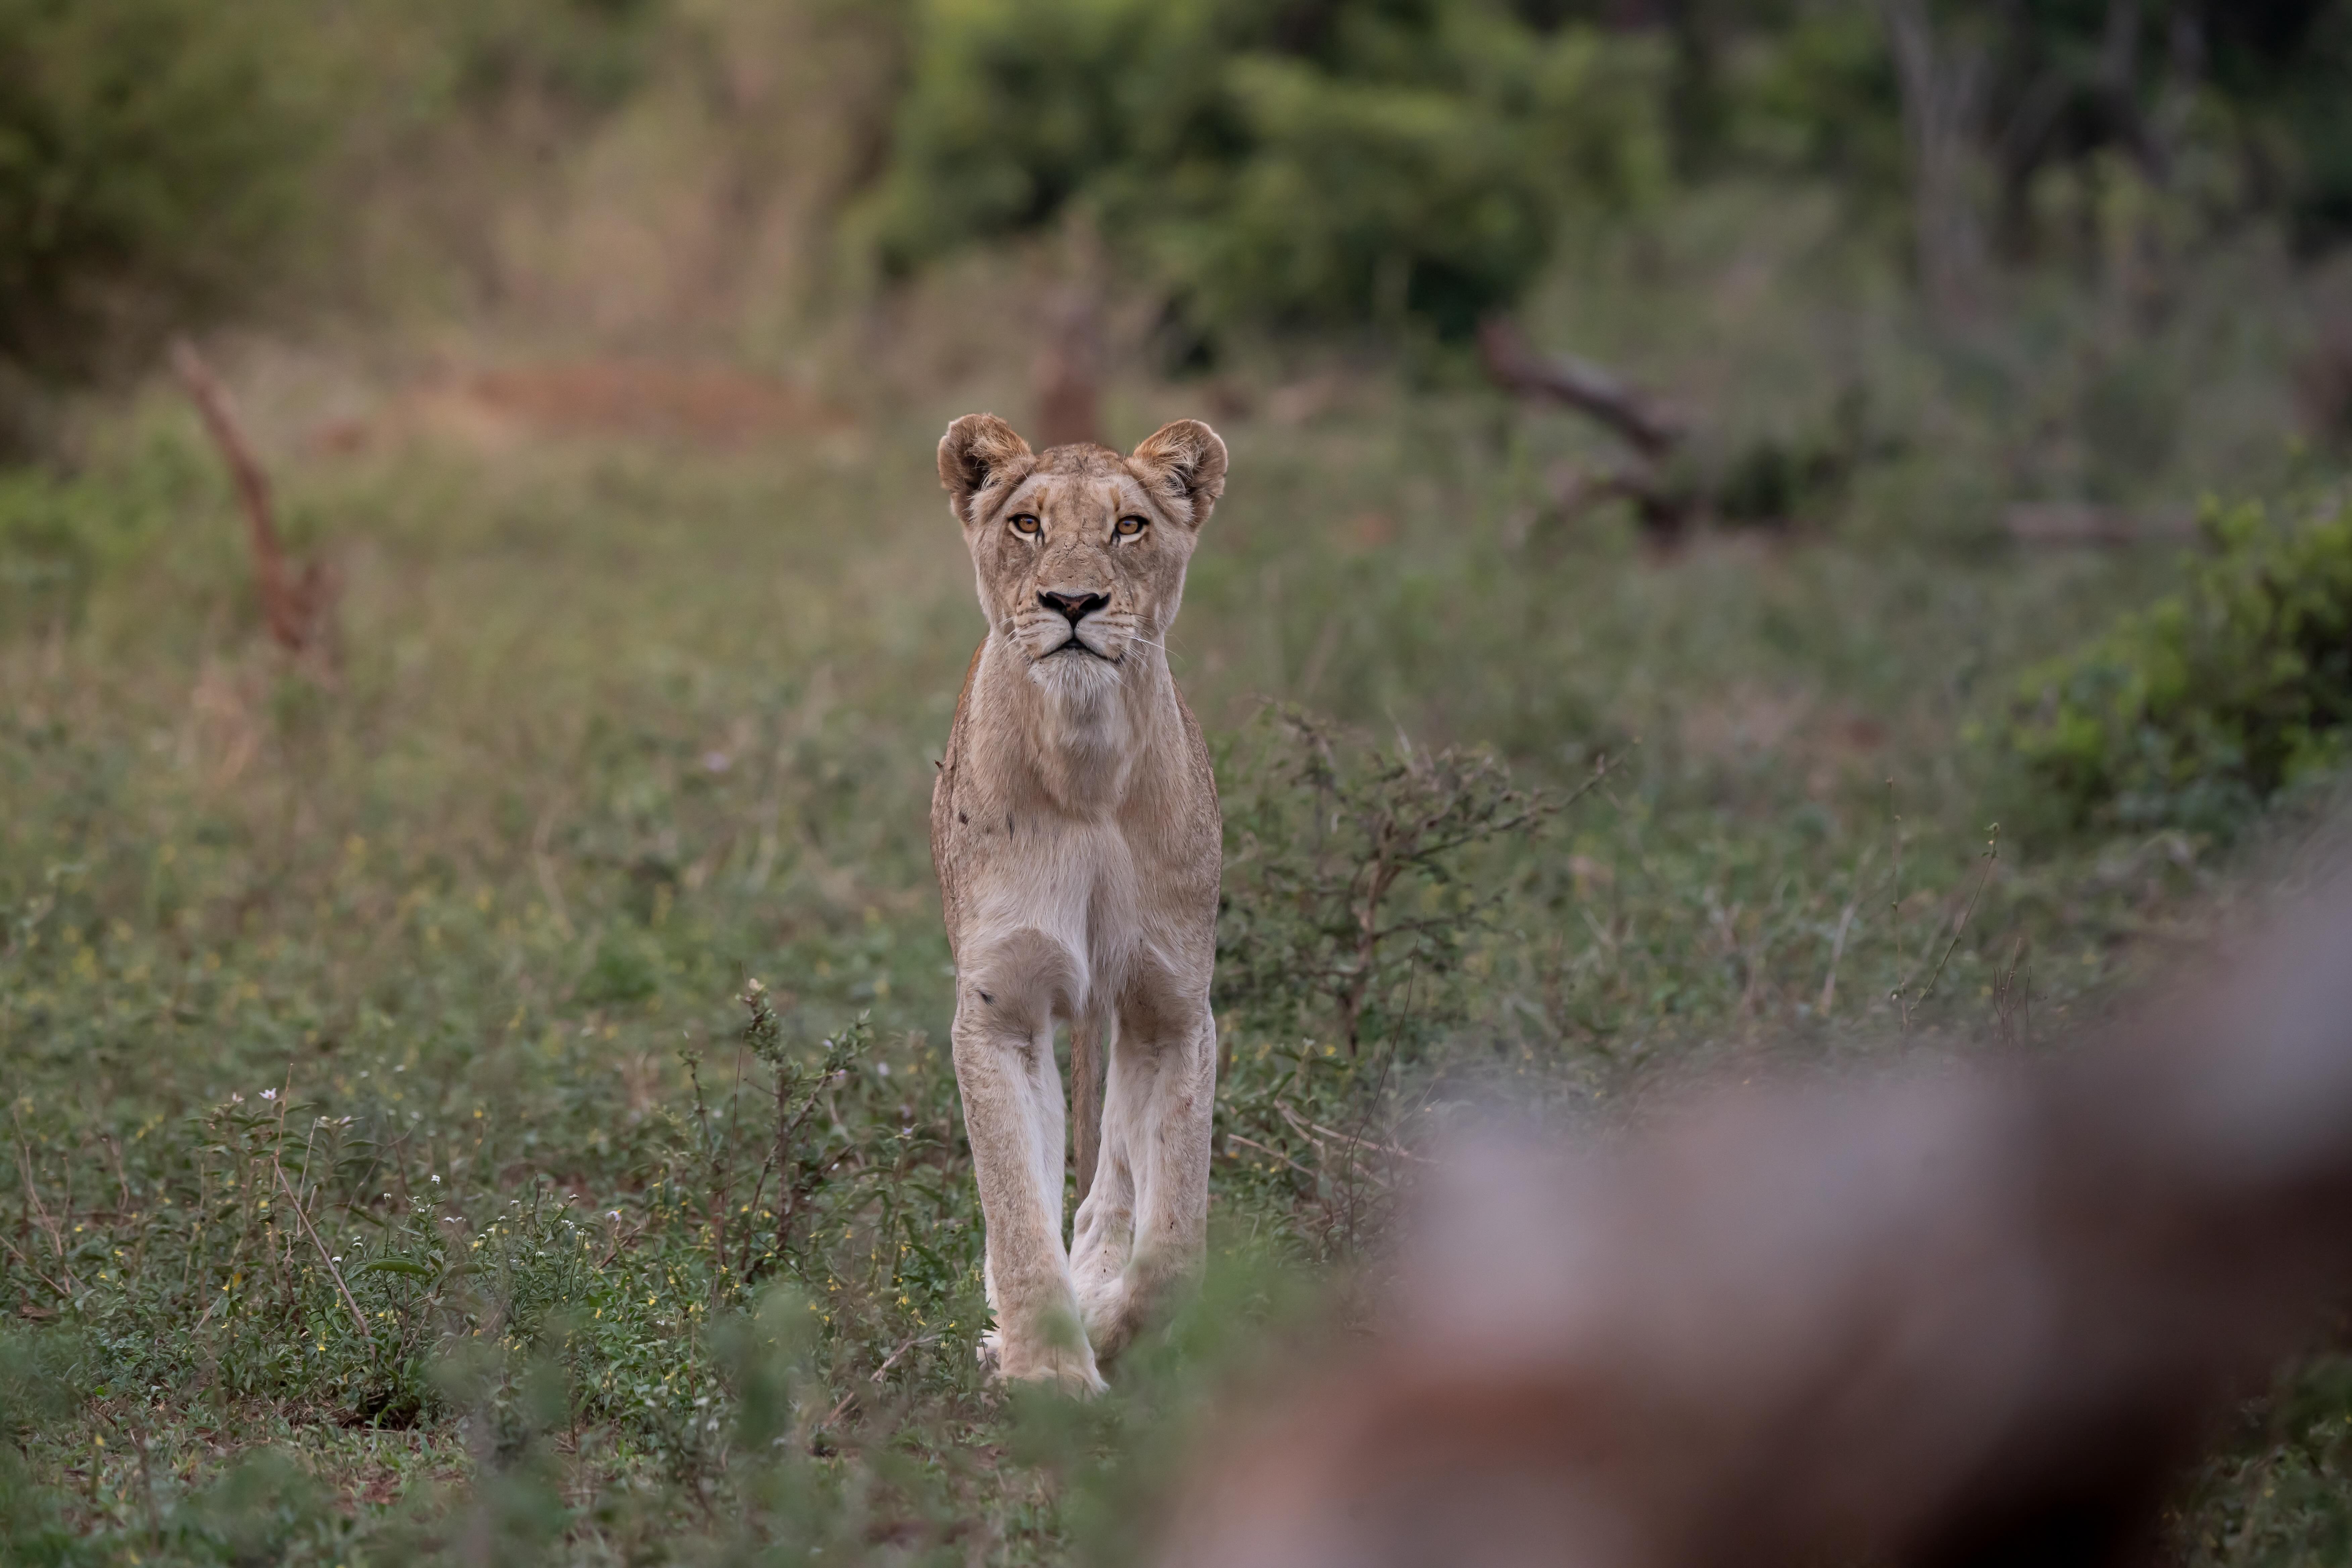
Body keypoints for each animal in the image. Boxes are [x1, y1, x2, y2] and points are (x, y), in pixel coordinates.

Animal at [930, 413, 1228, 1392]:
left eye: (1129, 526)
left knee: (1119, 1179)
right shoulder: (1002, 1008)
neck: (1087, 763)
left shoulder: (1175, 1009)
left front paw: (1110, 1327)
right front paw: (1048, 1372)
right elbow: (1018, 1206)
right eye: (1027, 523)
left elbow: (1174, 1243)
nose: (1072, 603)